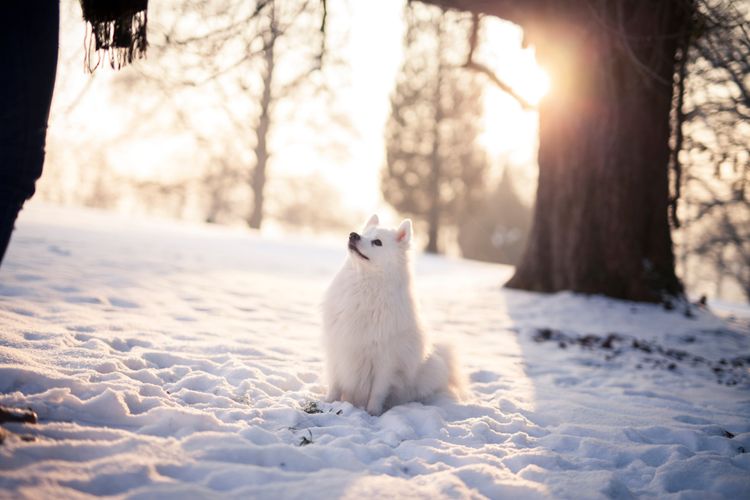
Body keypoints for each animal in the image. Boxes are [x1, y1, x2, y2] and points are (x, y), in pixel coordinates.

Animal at [322, 215, 464, 414]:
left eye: (377, 242)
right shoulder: (337, 347)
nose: (353, 235)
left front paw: (372, 413)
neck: (364, 287)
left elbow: (377, 391)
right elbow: (335, 382)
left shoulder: (386, 360)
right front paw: (328, 403)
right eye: (365, 233)